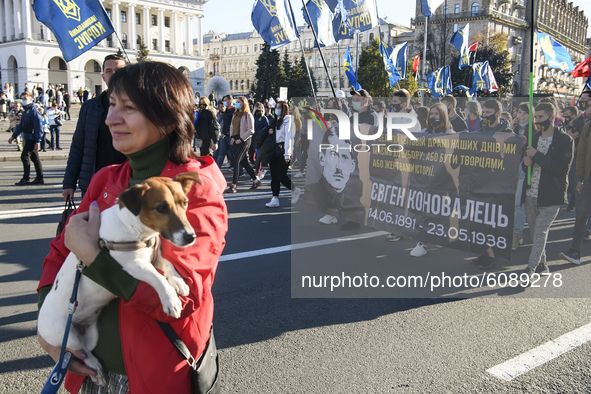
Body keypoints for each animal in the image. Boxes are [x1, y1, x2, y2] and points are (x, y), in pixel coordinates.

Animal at [38, 172, 204, 384]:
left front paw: (179, 282)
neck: (134, 228)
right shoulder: (133, 264)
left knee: (85, 350)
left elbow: (169, 264)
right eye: (161, 208)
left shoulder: (155, 256)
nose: (191, 237)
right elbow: (156, 278)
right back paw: (96, 368)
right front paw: (170, 300)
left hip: (92, 334)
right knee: (80, 352)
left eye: (185, 203)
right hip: (65, 335)